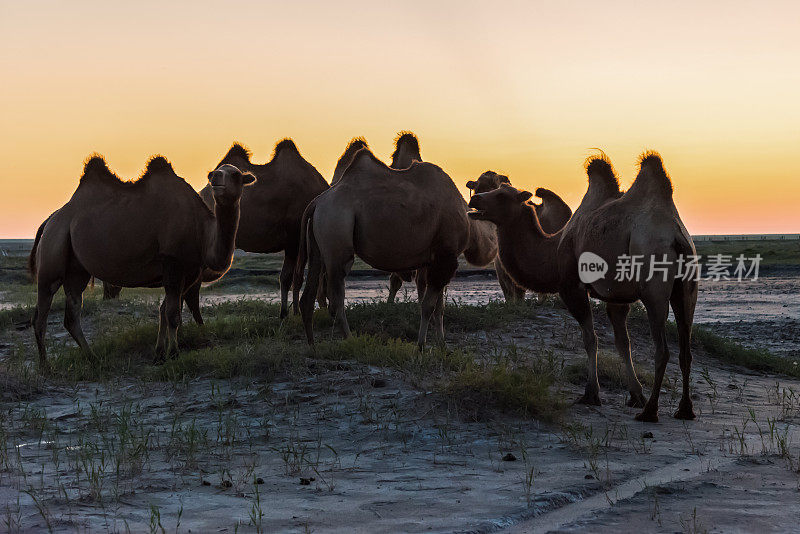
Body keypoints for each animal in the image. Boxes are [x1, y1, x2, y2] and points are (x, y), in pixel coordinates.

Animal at [28, 157, 253, 370]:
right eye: (216, 172)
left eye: (235, 174)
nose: (216, 177)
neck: (202, 232)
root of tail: (50, 220)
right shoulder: (172, 262)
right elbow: (172, 314)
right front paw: (174, 354)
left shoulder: (189, 271)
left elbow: (165, 310)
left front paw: (159, 355)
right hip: (52, 257)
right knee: (41, 313)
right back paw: (45, 366)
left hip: (76, 269)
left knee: (72, 314)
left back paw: (94, 359)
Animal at [200, 140, 328, 320]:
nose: (326, 308)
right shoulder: (293, 238)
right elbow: (289, 278)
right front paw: (286, 314)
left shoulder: (298, 240)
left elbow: (295, 277)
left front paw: (293, 313)